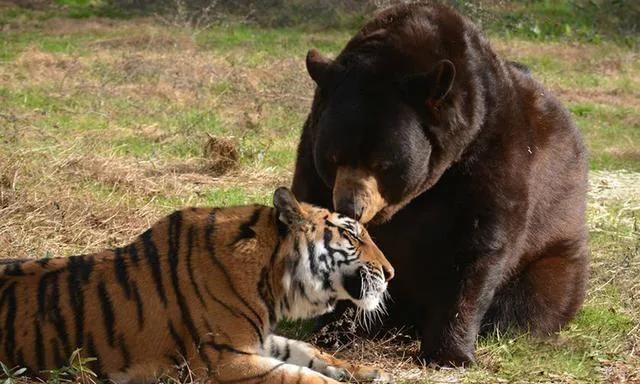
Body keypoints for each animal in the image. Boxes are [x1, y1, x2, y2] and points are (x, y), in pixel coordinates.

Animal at [0, 188, 396, 382]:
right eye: (351, 235)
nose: (391, 272)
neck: (271, 281)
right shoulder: (225, 360)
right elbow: (303, 377)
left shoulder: (256, 340)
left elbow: (306, 350)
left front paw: (364, 371)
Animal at [292, 3, 588, 364]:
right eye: (334, 156)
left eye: (383, 163)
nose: (351, 207)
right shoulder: (312, 152)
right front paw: (332, 331)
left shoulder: (487, 154)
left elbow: (475, 246)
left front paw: (450, 352)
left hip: (554, 252)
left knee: (537, 301)